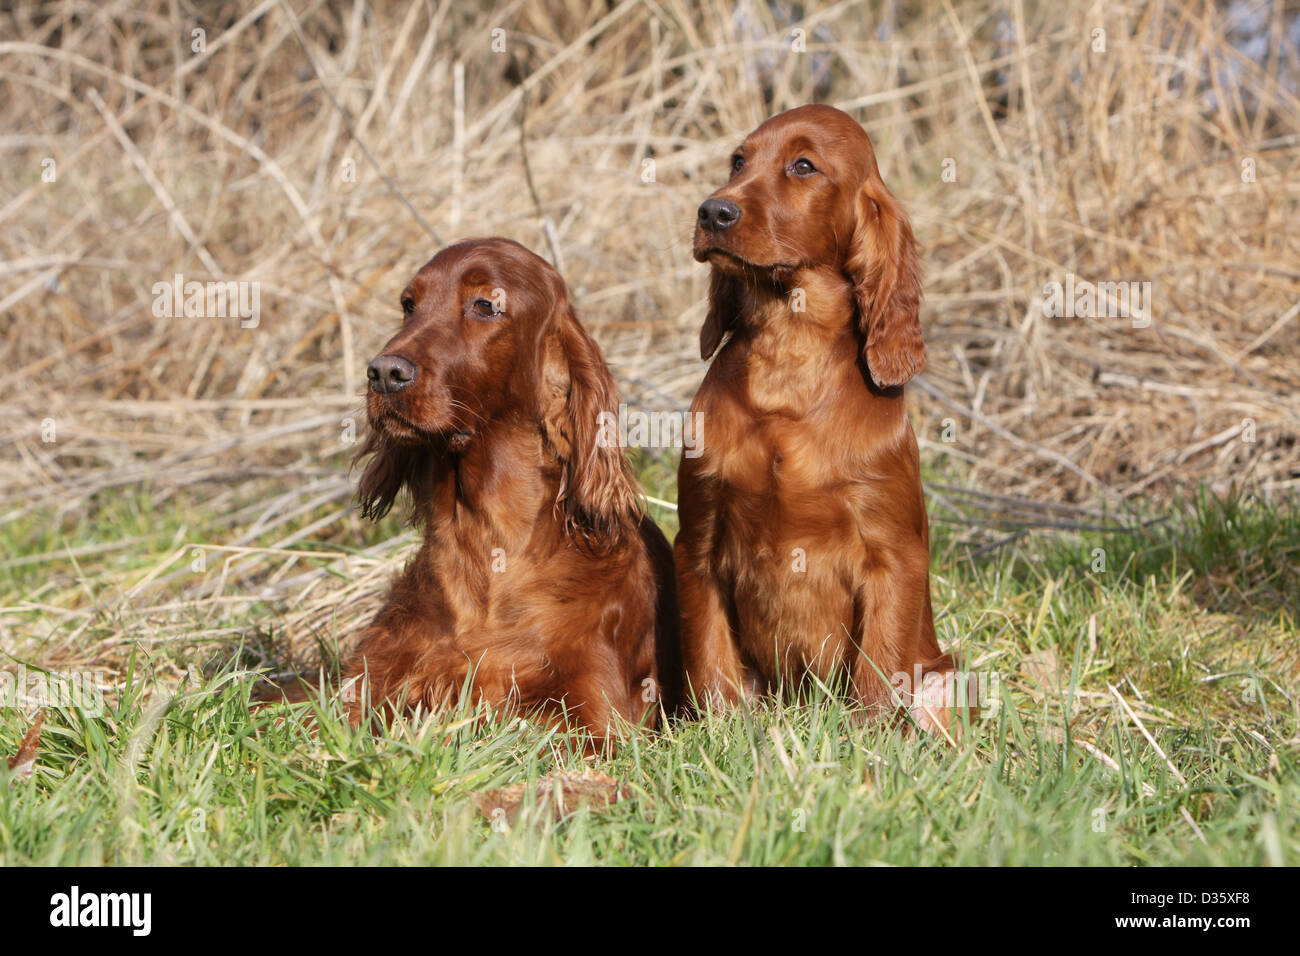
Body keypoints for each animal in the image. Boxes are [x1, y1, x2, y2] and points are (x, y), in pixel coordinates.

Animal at [670, 104, 967, 733]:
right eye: (738, 161)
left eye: (803, 166)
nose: (712, 211)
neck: (790, 352)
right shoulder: (698, 542)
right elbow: (710, 666)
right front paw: (718, 737)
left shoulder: (894, 555)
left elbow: (879, 670)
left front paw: (871, 744)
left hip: (945, 679)